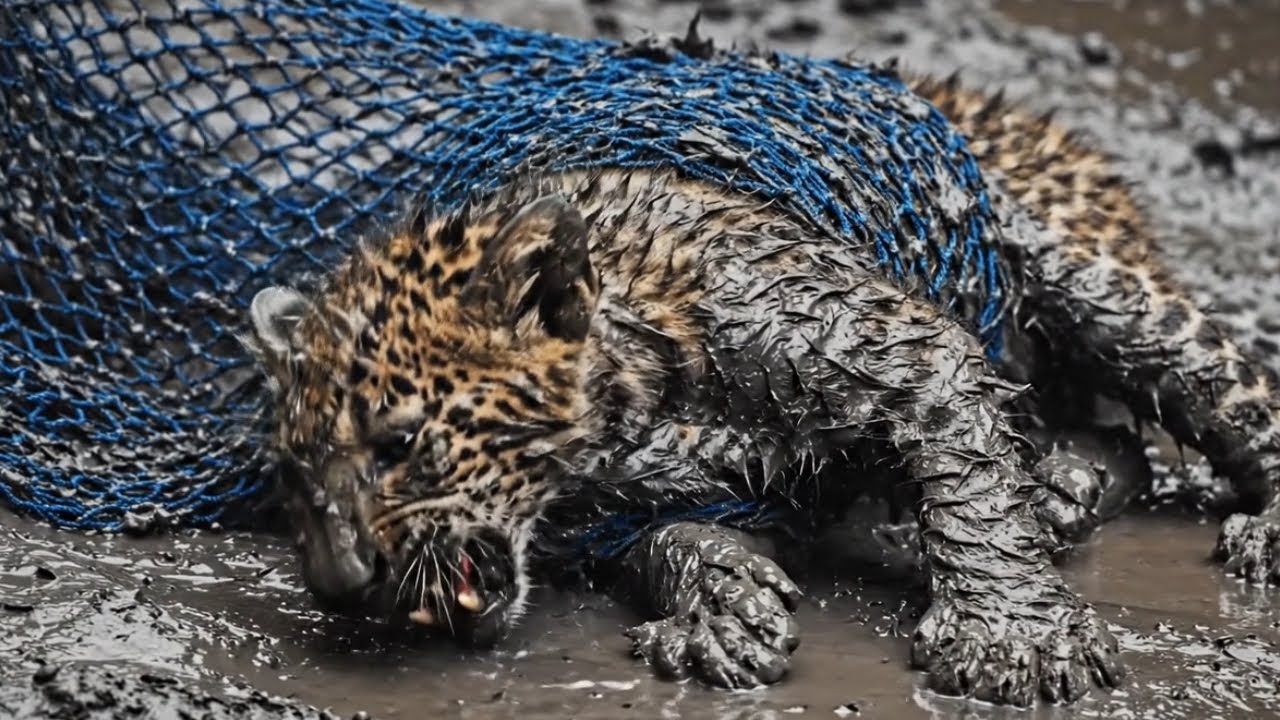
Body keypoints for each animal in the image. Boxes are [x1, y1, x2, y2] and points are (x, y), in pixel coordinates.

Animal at [243, 44, 1280, 708]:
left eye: (400, 443)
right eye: (293, 475)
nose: (337, 582)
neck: (619, 423)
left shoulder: (887, 337)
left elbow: (970, 476)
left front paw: (1013, 637)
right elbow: (670, 536)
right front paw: (722, 601)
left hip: (1070, 258)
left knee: (1211, 376)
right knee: (1114, 430)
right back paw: (1064, 482)